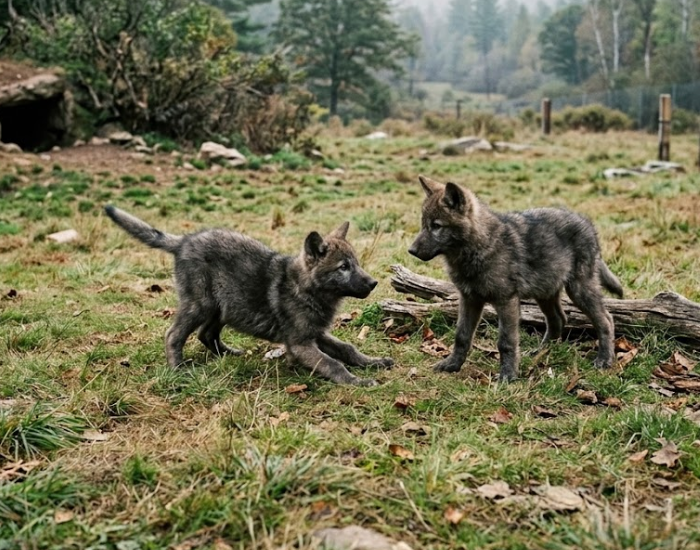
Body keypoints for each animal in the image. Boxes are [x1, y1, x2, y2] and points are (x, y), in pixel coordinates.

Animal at [104, 205, 393, 386]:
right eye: (343, 267)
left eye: (356, 263)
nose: (374, 283)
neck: (305, 288)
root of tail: (184, 241)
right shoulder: (301, 343)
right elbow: (334, 364)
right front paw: (357, 381)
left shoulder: (317, 333)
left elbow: (348, 349)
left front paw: (373, 362)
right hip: (201, 305)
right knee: (173, 335)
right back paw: (178, 371)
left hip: (224, 307)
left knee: (206, 334)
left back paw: (230, 355)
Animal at [408, 176, 623, 381]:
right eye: (423, 225)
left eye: (436, 226)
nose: (411, 250)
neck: (480, 248)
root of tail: (587, 222)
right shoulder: (469, 299)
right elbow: (461, 336)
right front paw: (452, 365)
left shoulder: (506, 301)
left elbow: (506, 342)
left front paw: (508, 376)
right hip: (544, 292)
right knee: (559, 319)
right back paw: (542, 351)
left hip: (578, 290)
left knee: (606, 319)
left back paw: (604, 359)